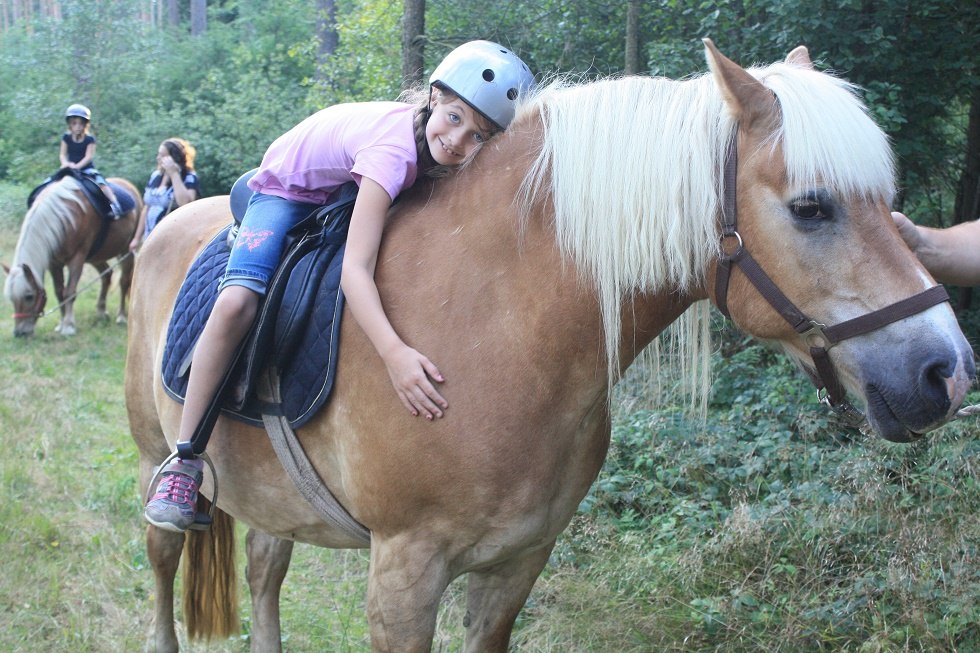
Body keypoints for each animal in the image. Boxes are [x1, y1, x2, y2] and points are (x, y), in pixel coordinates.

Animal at [3, 173, 140, 336]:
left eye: (29, 296)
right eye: (11, 298)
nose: (19, 333)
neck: (63, 217)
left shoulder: (77, 259)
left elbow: (69, 292)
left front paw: (68, 325)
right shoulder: (54, 264)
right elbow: (59, 292)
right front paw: (61, 323)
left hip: (127, 250)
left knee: (124, 281)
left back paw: (121, 316)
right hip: (95, 257)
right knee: (106, 275)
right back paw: (101, 312)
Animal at [124, 42, 972, 652]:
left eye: (889, 204)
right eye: (811, 207)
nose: (948, 371)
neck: (498, 327)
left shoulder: (515, 567)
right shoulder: (403, 575)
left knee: (264, 570)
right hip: (156, 459)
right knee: (164, 561)